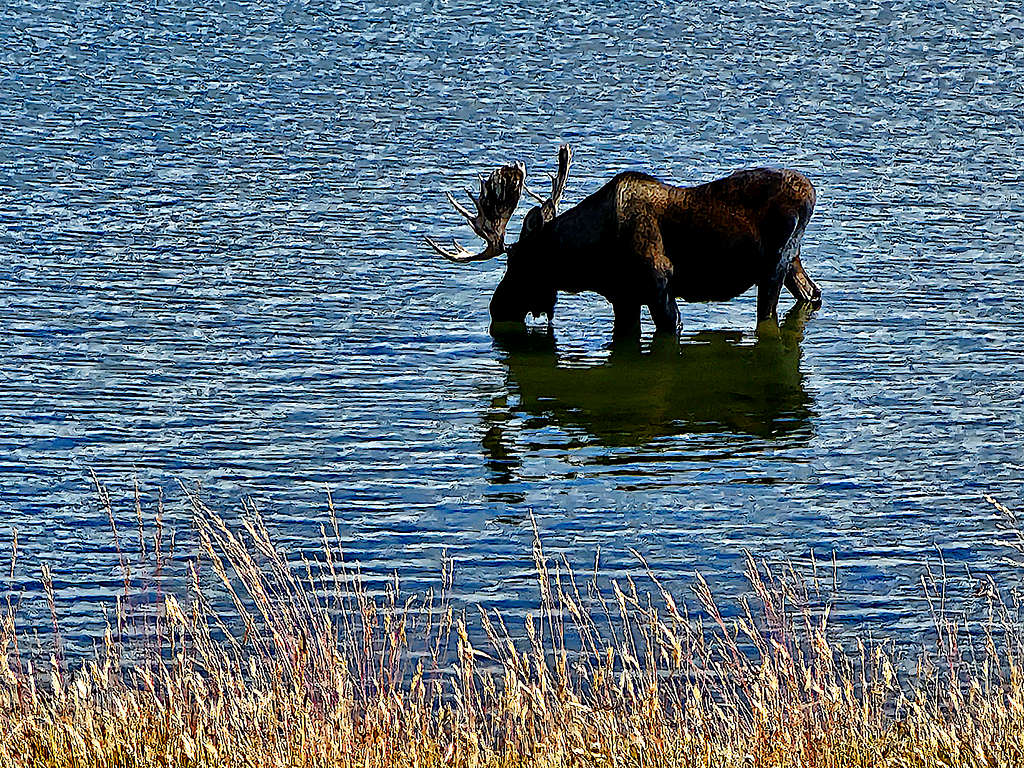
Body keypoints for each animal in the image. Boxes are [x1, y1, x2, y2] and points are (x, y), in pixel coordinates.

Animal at [425, 145, 821, 338]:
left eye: (517, 262)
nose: (497, 307)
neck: (590, 261)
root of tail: (812, 193)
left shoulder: (660, 287)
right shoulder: (623, 298)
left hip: (774, 267)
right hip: (793, 262)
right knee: (812, 293)